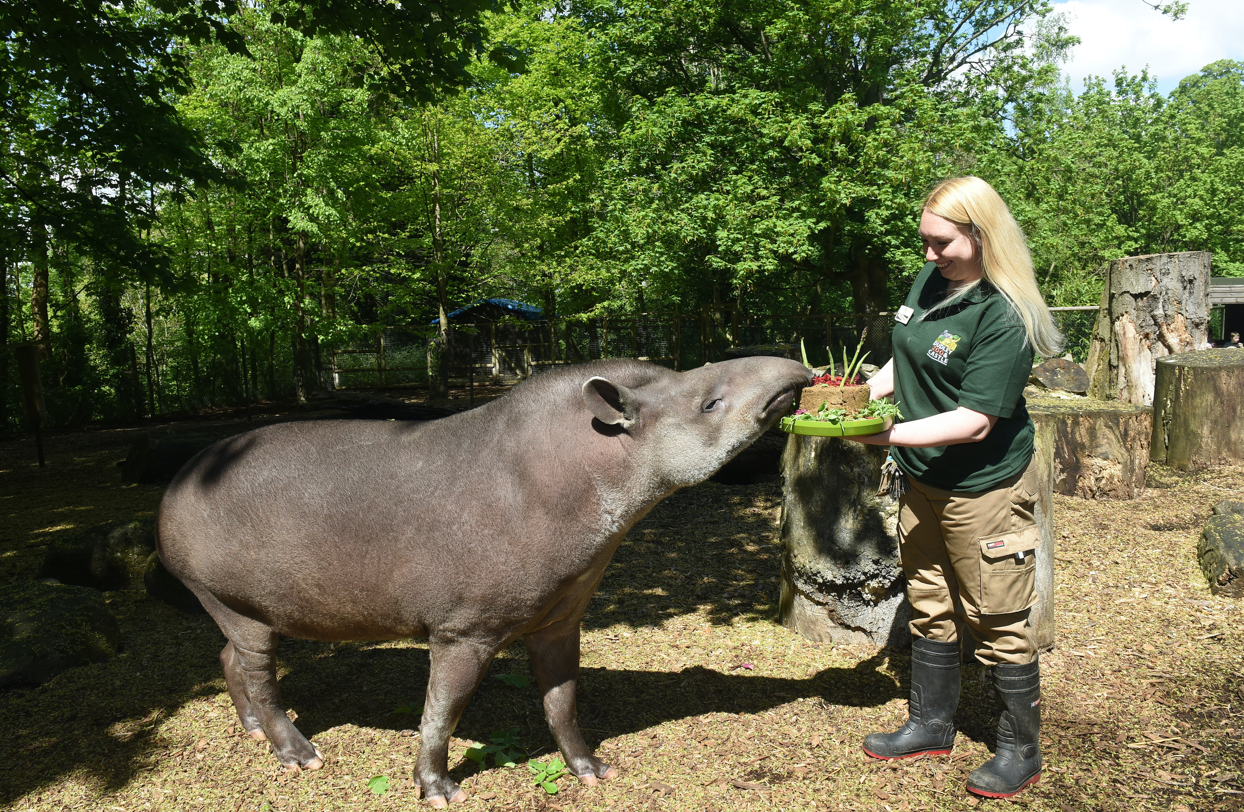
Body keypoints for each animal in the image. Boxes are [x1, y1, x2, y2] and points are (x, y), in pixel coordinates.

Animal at [156, 356, 811, 806]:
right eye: (710, 403)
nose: (800, 370)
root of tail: (174, 485)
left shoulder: (560, 617)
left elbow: (562, 701)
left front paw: (590, 769)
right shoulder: (464, 626)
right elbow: (442, 710)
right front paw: (436, 788)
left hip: (238, 601)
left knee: (230, 654)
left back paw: (252, 730)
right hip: (225, 589)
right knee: (257, 668)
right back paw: (297, 752)